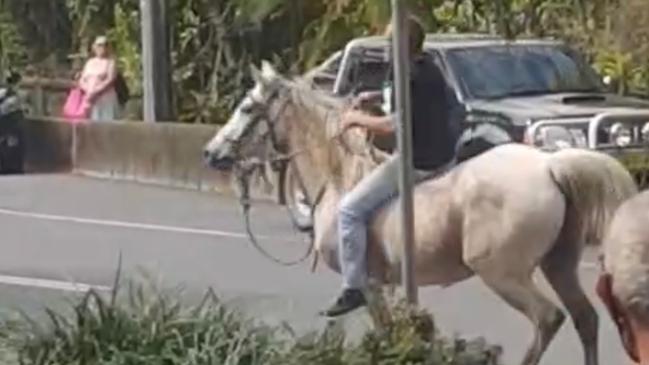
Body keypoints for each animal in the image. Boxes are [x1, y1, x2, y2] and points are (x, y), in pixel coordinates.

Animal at [204, 61, 636, 362]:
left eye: (247, 108)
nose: (211, 153)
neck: (339, 178)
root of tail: (549, 165)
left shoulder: (370, 286)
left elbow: (385, 332)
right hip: (557, 264)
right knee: (585, 319)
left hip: (503, 273)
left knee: (548, 319)